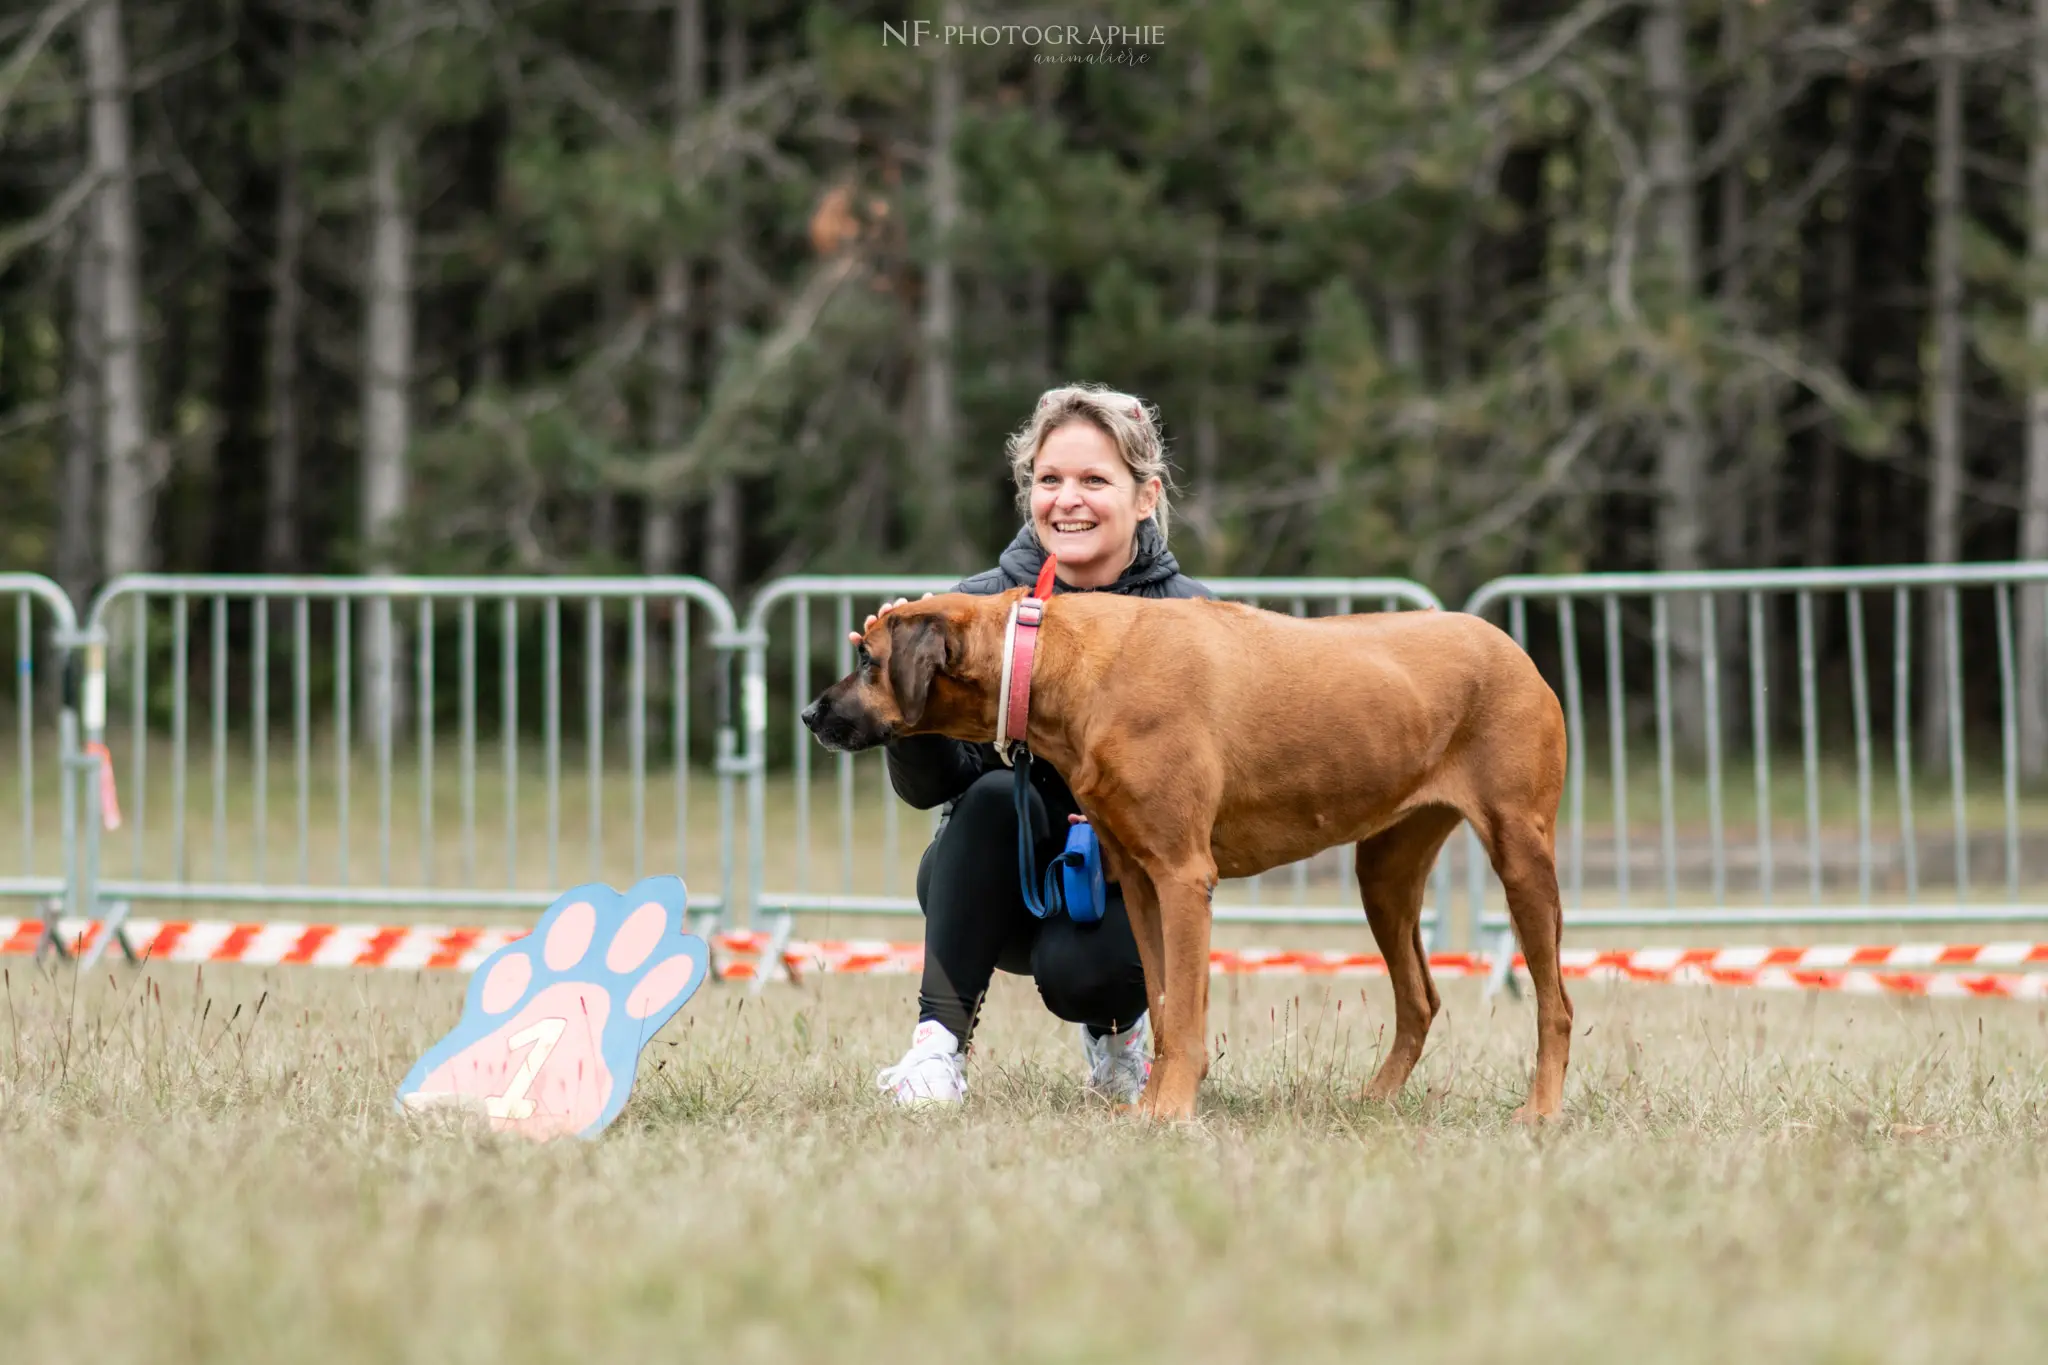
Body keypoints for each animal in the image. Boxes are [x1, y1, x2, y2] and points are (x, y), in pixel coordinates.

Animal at [798, 593, 1564, 1129]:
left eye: (867, 660)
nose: (809, 714)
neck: (1048, 659)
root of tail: (1514, 649)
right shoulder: (1141, 882)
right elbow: (1165, 1011)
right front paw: (1152, 1104)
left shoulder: (1184, 877)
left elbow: (1188, 1012)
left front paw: (1171, 1113)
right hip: (1384, 872)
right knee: (1421, 997)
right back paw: (1373, 1101)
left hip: (1522, 852)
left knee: (1554, 1003)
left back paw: (1541, 1110)